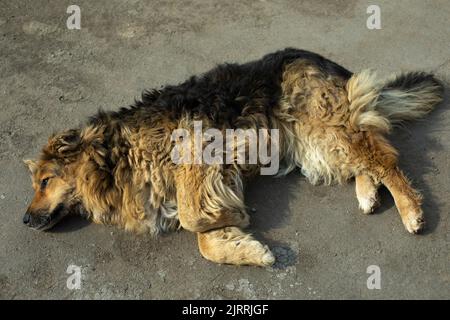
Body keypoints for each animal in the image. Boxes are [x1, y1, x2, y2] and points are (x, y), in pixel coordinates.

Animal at [23, 48, 442, 266]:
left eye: (45, 181)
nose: (25, 220)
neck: (116, 154)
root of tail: (322, 60)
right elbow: (205, 241)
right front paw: (242, 245)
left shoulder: (198, 151)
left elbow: (192, 220)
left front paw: (232, 220)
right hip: (313, 142)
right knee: (363, 160)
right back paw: (368, 194)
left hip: (324, 125)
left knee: (385, 158)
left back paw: (410, 210)